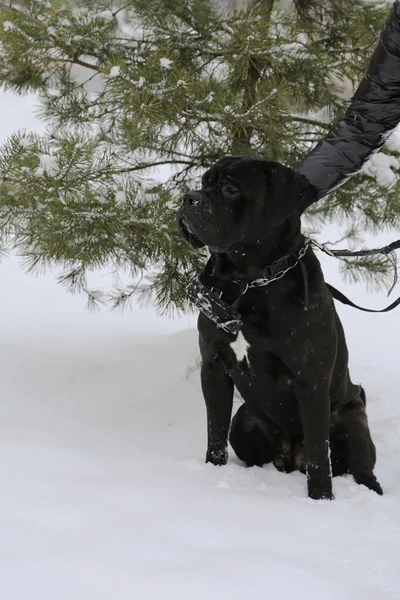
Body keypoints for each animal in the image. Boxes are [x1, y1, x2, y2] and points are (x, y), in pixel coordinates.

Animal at [177, 154, 382, 496]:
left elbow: (319, 456)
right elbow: (215, 431)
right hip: (244, 421)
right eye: (205, 181)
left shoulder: (311, 383)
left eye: (231, 188)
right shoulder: (214, 365)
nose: (188, 198)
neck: (249, 281)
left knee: (359, 466)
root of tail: (290, 454)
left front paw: (321, 499)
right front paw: (213, 471)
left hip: (352, 420)